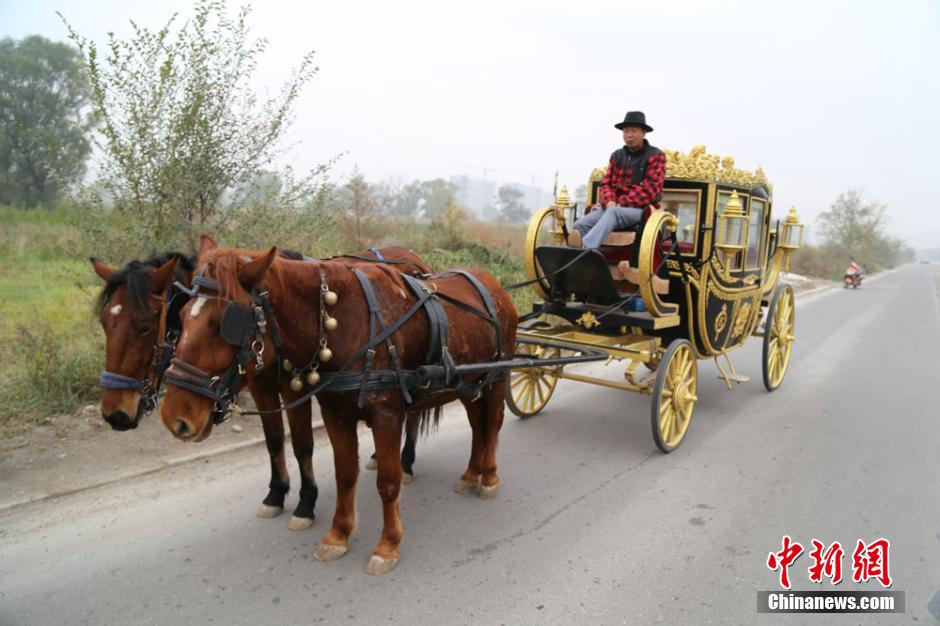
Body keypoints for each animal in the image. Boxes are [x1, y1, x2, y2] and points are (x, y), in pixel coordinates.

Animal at [92, 239, 430, 528]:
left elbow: (302, 444)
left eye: (145, 326)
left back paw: (406, 461)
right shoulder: (261, 388)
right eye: (105, 323)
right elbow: (274, 440)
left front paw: (306, 503)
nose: (114, 414)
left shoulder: (295, 388)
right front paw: (276, 493)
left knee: (413, 412)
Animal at [158, 244, 516, 572]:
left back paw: (489, 478)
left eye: (224, 322)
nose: (175, 417)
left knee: (494, 423)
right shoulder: (335, 415)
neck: (347, 322)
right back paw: (471, 474)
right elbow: (345, 474)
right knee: (477, 425)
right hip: (469, 383)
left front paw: (387, 545)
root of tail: (494, 285)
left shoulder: (387, 417)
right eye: (181, 316)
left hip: (497, 378)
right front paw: (337, 536)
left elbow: (388, 481)